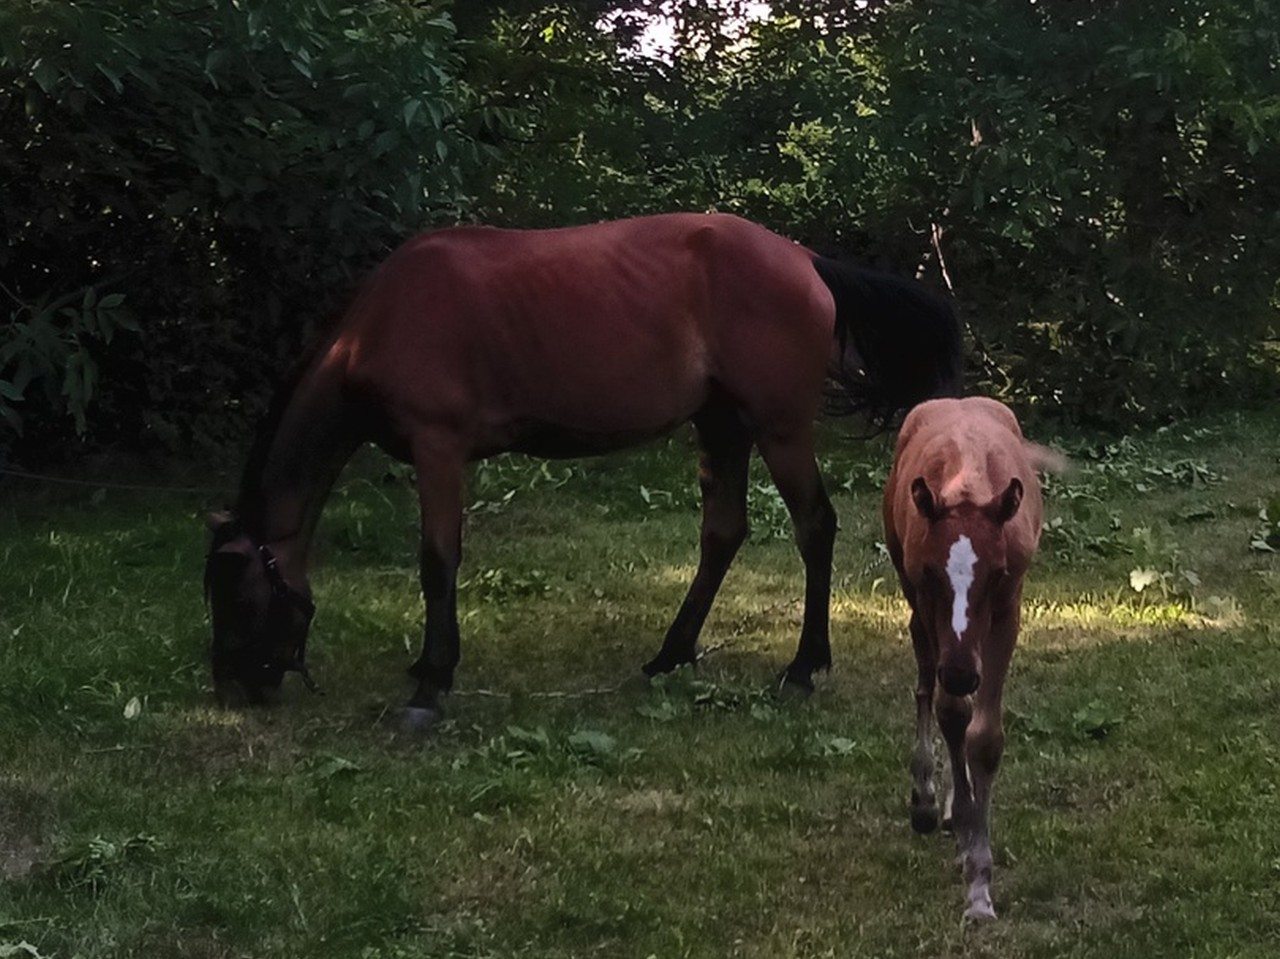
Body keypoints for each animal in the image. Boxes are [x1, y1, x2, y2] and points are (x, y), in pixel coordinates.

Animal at [204, 213, 962, 727]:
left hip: (777, 428)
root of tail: (804, 258)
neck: (385, 322)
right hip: (720, 425)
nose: (236, 688)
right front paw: (427, 665)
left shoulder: (437, 448)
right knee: (723, 532)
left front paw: (431, 684)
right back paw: (671, 653)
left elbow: (437, 559)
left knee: (814, 527)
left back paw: (803, 666)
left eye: (236, 591)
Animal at [880, 396, 1049, 921]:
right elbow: (950, 710)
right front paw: (973, 869)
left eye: (995, 573)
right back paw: (930, 801)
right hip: (914, 604)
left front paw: (979, 881)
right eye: (934, 573)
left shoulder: (1008, 609)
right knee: (927, 689)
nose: (958, 672)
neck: (968, 482)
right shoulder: (923, 596)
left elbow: (985, 736)